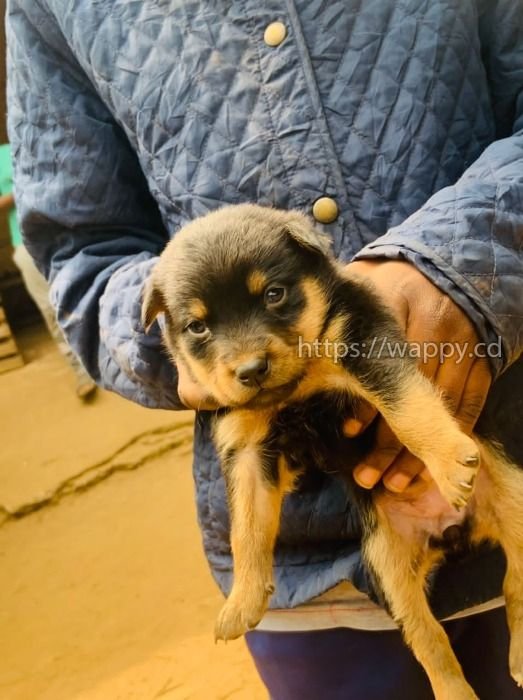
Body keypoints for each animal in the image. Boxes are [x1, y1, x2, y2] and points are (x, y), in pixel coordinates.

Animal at [141, 204, 523, 700]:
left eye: (275, 294)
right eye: (198, 326)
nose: (250, 370)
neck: (298, 385)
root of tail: (456, 532)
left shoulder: (366, 345)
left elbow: (408, 408)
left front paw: (451, 463)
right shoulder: (248, 449)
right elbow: (246, 526)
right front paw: (242, 602)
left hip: (515, 500)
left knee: (514, 582)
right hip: (386, 567)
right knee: (431, 640)